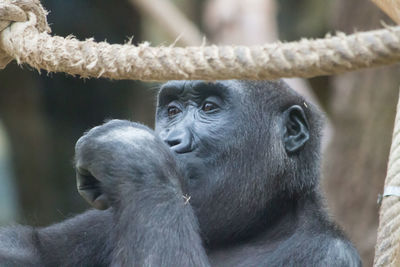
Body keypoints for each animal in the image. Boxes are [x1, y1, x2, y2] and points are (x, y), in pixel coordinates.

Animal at [0, 80, 360, 266]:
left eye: (209, 108)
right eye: (172, 111)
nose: (170, 140)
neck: (261, 228)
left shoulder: (328, 256)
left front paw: (132, 148)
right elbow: (29, 248)